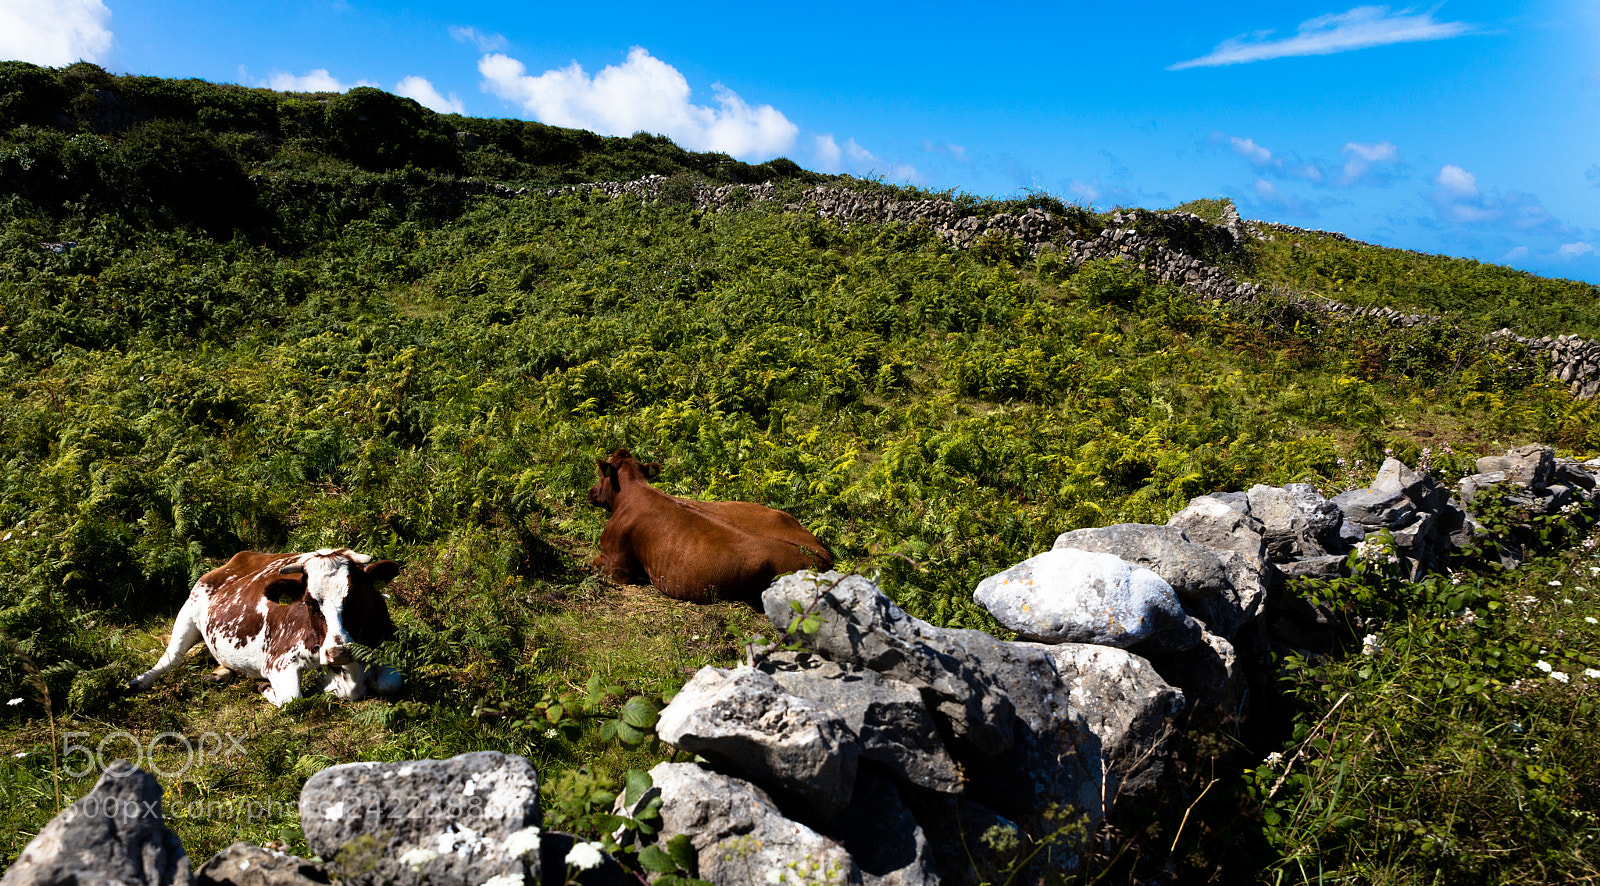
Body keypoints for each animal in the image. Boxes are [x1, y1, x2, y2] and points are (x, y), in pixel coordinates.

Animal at [129, 548, 402, 706]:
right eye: (308, 602)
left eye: (357, 596)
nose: (338, 652)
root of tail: (242, 556)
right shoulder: (279, 660)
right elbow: (291, 699)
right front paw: (267, 689)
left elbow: (388, 683)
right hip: (189, 609)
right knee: (171, 657)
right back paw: (140, 681)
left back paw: (219, 673)